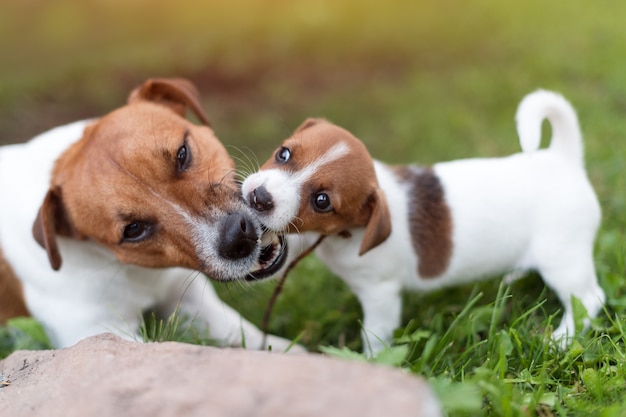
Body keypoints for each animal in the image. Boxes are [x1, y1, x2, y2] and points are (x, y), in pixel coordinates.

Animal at [0, 79, 292, 352]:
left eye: (182, 153)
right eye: (133, 230)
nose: (237, 237)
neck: (141, 274)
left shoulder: (189, 297)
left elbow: (246, 334)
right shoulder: (95, 330)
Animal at [241, 90, 604, 354]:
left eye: (322, 201)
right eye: (284, 153)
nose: (259, 197)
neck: (341, 235)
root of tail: (563, 158)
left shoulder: (381, 296)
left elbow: (374, 338)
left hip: (563, 260)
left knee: (589, 299)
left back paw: (560, 338)